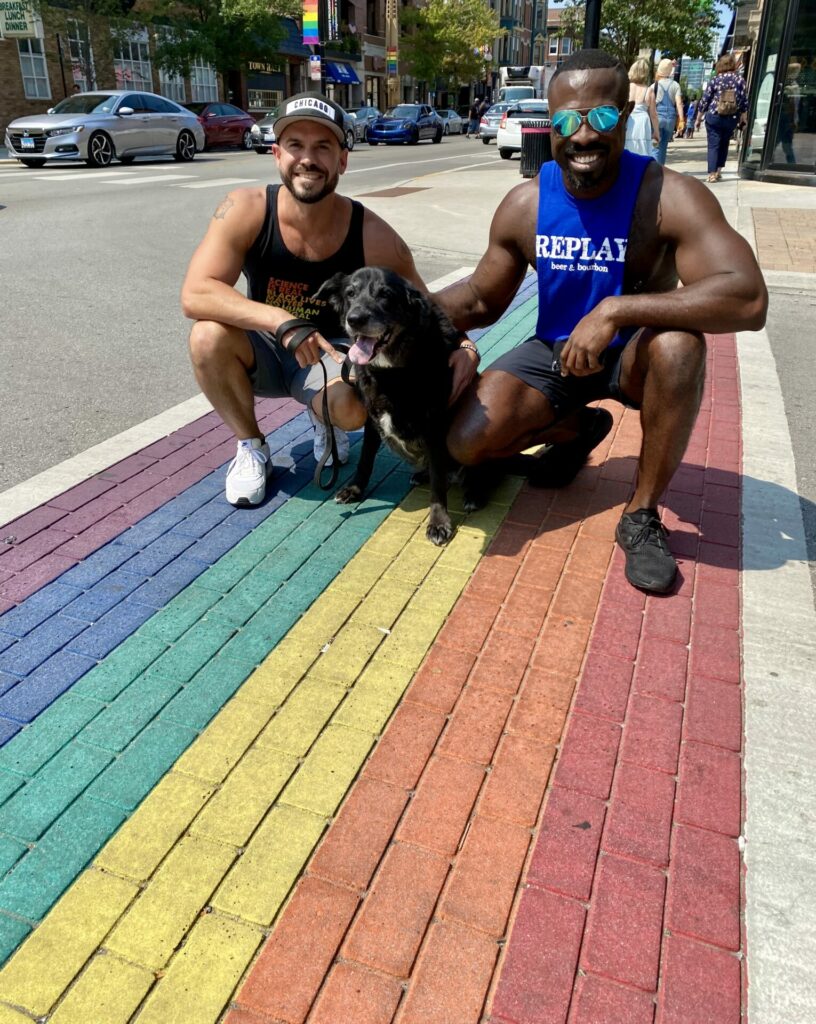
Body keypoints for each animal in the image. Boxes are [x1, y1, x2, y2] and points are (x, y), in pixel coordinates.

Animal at [313, 268, 464, 548]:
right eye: (350, 293)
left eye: (385, 295)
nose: (355, 319)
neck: (392, 372)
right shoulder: (372, 420)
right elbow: (365, 459)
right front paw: (354, 489)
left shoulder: (435, 426)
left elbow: (438, 483)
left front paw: (439, 522)